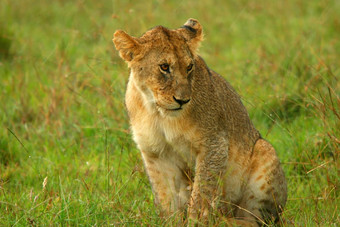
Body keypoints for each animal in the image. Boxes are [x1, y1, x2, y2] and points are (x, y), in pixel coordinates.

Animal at [113, 18, 286, 225]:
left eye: (189, 67)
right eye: (164, 66)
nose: (182, 100)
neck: (158, 112)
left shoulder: (213, 143)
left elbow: (202, 193)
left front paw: (196, 222)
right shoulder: (155, 153)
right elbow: (166, 199)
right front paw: (172, 222)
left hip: (264, 151)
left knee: (256, 220)